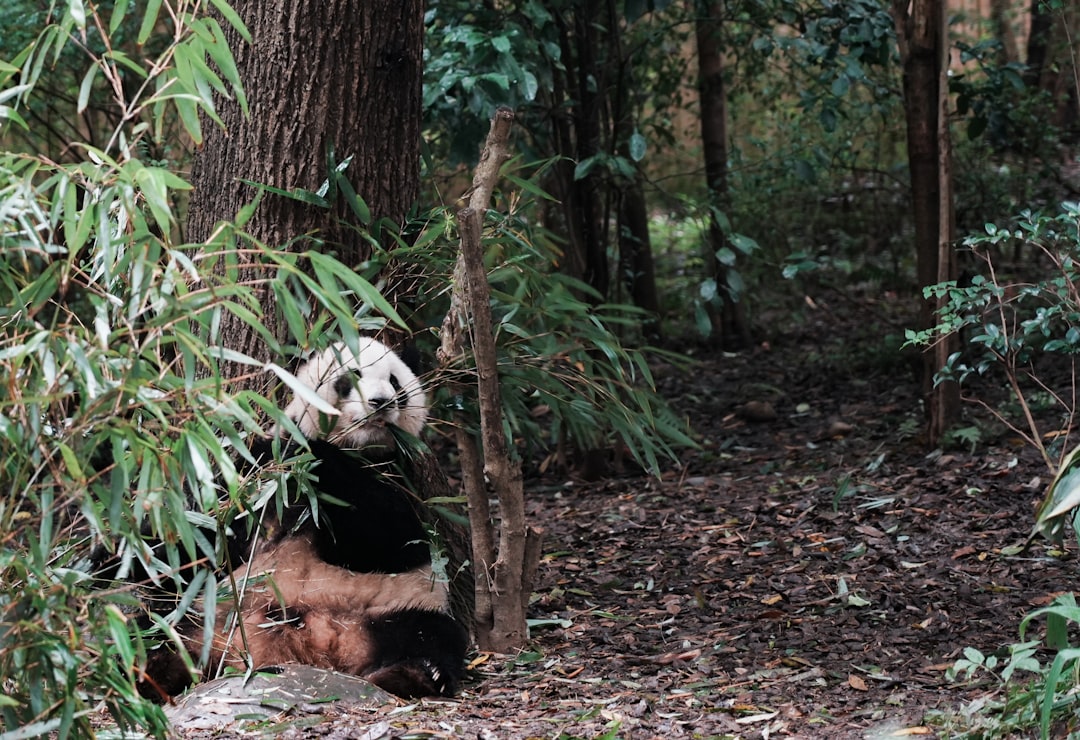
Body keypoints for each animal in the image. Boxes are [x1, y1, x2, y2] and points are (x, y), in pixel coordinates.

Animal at [145, 336, 469, 699]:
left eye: (395, 382)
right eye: (350, 377)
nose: (380, 402)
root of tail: (315, 644)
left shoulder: (401, 476)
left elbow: (390, 542)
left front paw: (318, 457)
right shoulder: (252, 473)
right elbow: (198, 536)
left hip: (393, 608)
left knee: (433, 634)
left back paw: (415, 674)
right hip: (210, 610)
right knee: (158, 625)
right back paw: (156, 667)